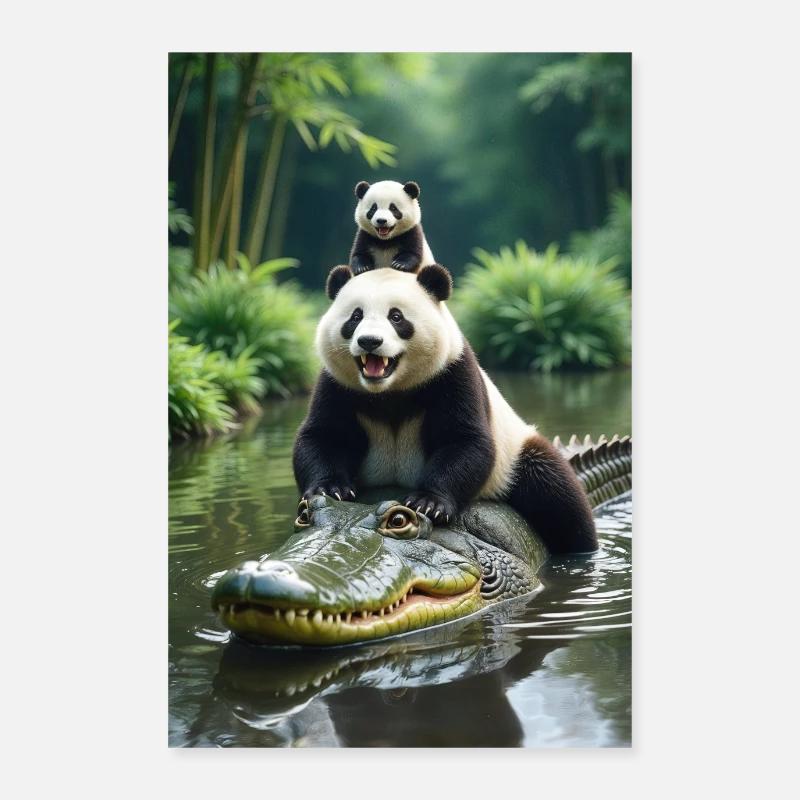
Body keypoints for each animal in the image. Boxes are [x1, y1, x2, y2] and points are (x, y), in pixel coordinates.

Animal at [293, 264, 597, 555]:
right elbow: (323, 436)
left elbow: (464, 440)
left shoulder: (452, 373)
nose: (369, 341)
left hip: (513, 457)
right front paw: (331, 489)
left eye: (396, 317)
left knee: (557, 497)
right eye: (355, 317)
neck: (387, 390)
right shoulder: (337, 384)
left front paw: (429, 503)